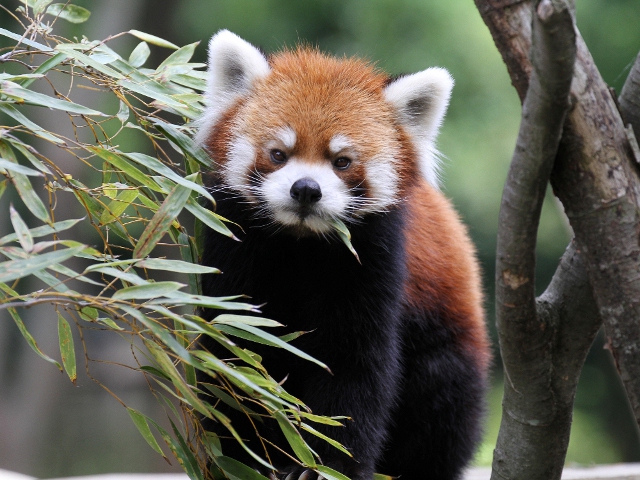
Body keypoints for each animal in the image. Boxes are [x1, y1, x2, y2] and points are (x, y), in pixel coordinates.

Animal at [198, 30, 488, 480]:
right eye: (278, 154)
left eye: (342, 161)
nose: (306, 189)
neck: (300, 242)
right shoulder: (233, 241)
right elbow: (236, 348)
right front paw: (241, 457)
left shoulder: (374, 258)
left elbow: (354, 367)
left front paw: (327, 465)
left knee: (443, 401)